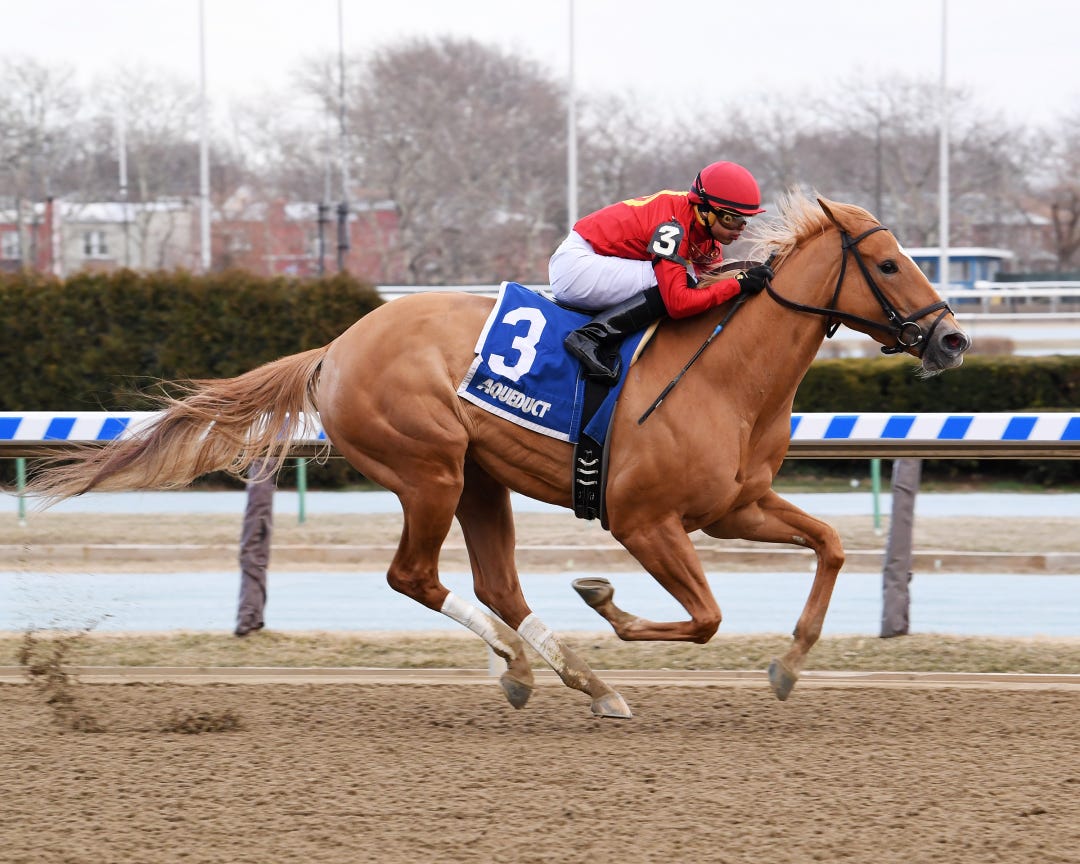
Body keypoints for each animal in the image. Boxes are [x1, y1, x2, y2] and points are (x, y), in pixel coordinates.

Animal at [24, 190, 970, 719]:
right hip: (430, 467)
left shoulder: (734, 507)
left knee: (497, 587)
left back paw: (569, 678)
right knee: (418, 577)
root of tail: (337, 347)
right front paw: (606, 603)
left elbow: (832, 545)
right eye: (891, 264)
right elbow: (703, 617)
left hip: (481, 479)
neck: (728, 373)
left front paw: (788, 664)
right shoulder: (643, 520)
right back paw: (541, 666)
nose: (953, 338)